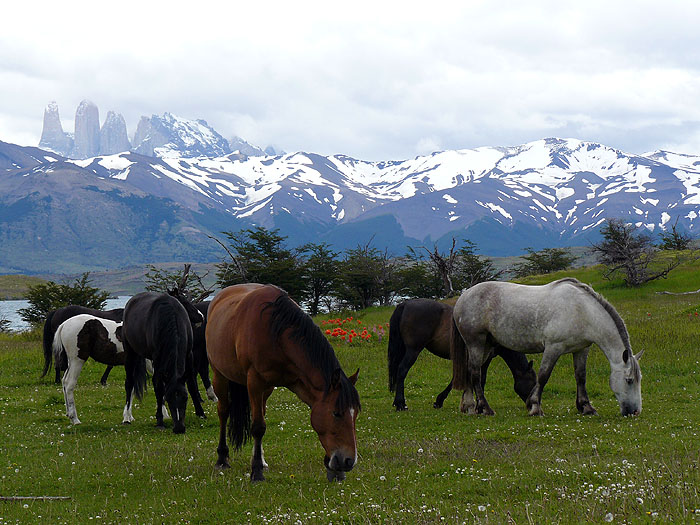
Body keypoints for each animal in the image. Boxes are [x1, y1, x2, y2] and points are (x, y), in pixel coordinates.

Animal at [121, 288, 204, 432]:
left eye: (185, 398)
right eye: (169, 398)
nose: (179, 428)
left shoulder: (188, 354)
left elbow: (192, 383)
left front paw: (201, 412)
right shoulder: (158, 358)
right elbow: (158, 386)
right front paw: (159, 420)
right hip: (130, 353)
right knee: (129, 383)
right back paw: (127, 417)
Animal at [205, 284, 360, 482]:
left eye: (355, 414)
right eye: (336, 413)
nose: (348, 461)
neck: (276, 333)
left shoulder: (295, 382)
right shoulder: (254, 381)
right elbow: (258, 427)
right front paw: (256, 472)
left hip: (266, 389)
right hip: (220, 376)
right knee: (224, 412)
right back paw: (222, 458)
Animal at [388, 296, 536, 412]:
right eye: (533, 382)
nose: (532, 405)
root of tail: (405, 304)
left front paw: (442, 401)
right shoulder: (485, 358)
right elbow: (480, 379)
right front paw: (480, 406)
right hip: (413, 350)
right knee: (402, 370)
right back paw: (401, 404)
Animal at [452, 278, 644, 418]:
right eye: (629, 380)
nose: (635, 412)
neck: (582, 311)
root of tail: (462, 298)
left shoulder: (581, 349)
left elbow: (581, 377)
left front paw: (586, 407)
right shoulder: (553, 348)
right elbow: (543, 376)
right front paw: (535, 407)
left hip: (486, 346)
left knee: (472, 373)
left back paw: (472, 407)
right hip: (476, 343)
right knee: (475, 373)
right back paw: (485, 408)